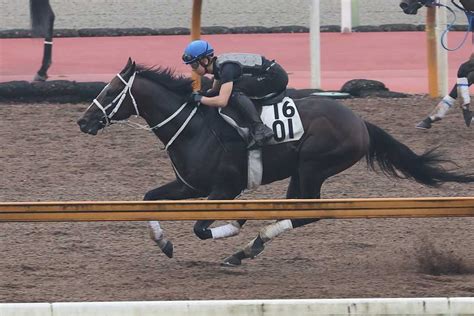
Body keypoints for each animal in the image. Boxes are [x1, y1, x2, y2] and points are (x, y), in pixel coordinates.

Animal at [77, 59, 474, 266]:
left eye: (110, 91)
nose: (83, 121)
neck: (192, 127)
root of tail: (359, 121)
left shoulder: (224, 189)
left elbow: (201, 228)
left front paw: (236, 223)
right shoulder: (189, 186)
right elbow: (149, 198)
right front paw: (164, 243)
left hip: (315, 165)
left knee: (309, 212)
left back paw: (246, 247)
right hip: (300, 171)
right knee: (297, 208)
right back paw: (250, 247)